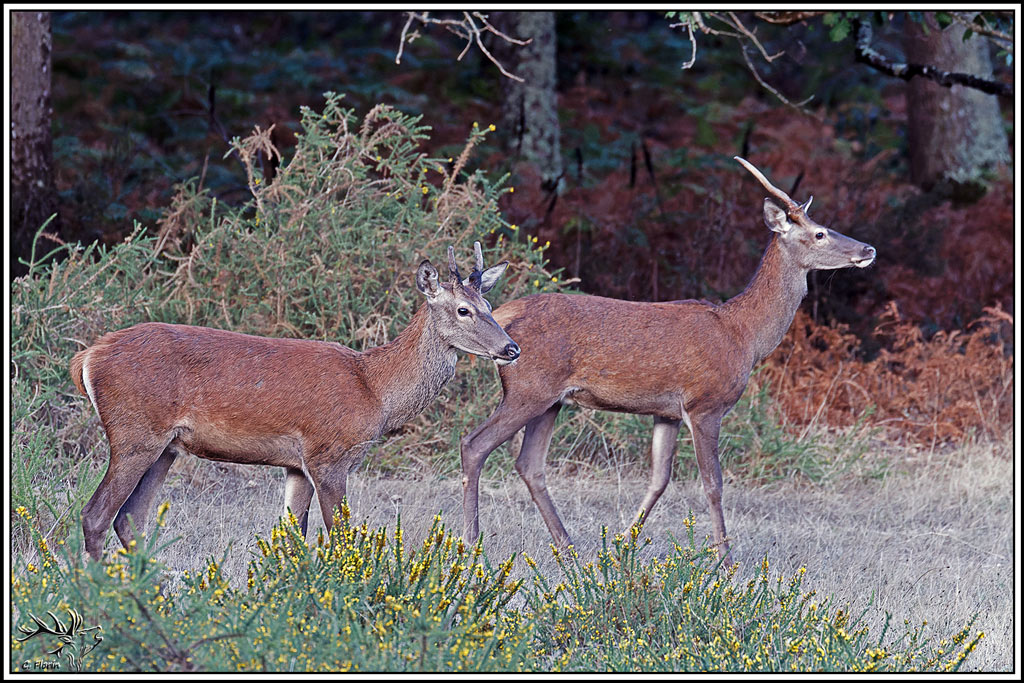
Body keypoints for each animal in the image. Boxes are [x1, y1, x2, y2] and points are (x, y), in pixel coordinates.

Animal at [71, 242, 520, 561]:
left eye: (489, 305)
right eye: (463, 310)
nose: (511, 348)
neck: (375, 389)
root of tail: (87, 358)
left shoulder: (296, 465)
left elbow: (291, 540)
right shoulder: (328, 455)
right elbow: (341, 540)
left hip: (166, 446)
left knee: (130, 519)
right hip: (134, 433)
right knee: (96, 514)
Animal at [459, 157, 877, 567]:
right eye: (820, 233)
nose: (868, 249)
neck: (744, 335)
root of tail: (505, 315)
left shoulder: (667, 412)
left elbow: (659, 479)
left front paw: (622, 547)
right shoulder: (705, 404)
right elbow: (713, 484)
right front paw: (725, 561)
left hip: (551, 399)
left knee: (530, 464)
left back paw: (569, 548)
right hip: (529, 388)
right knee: (474, 444)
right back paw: (472, 542)